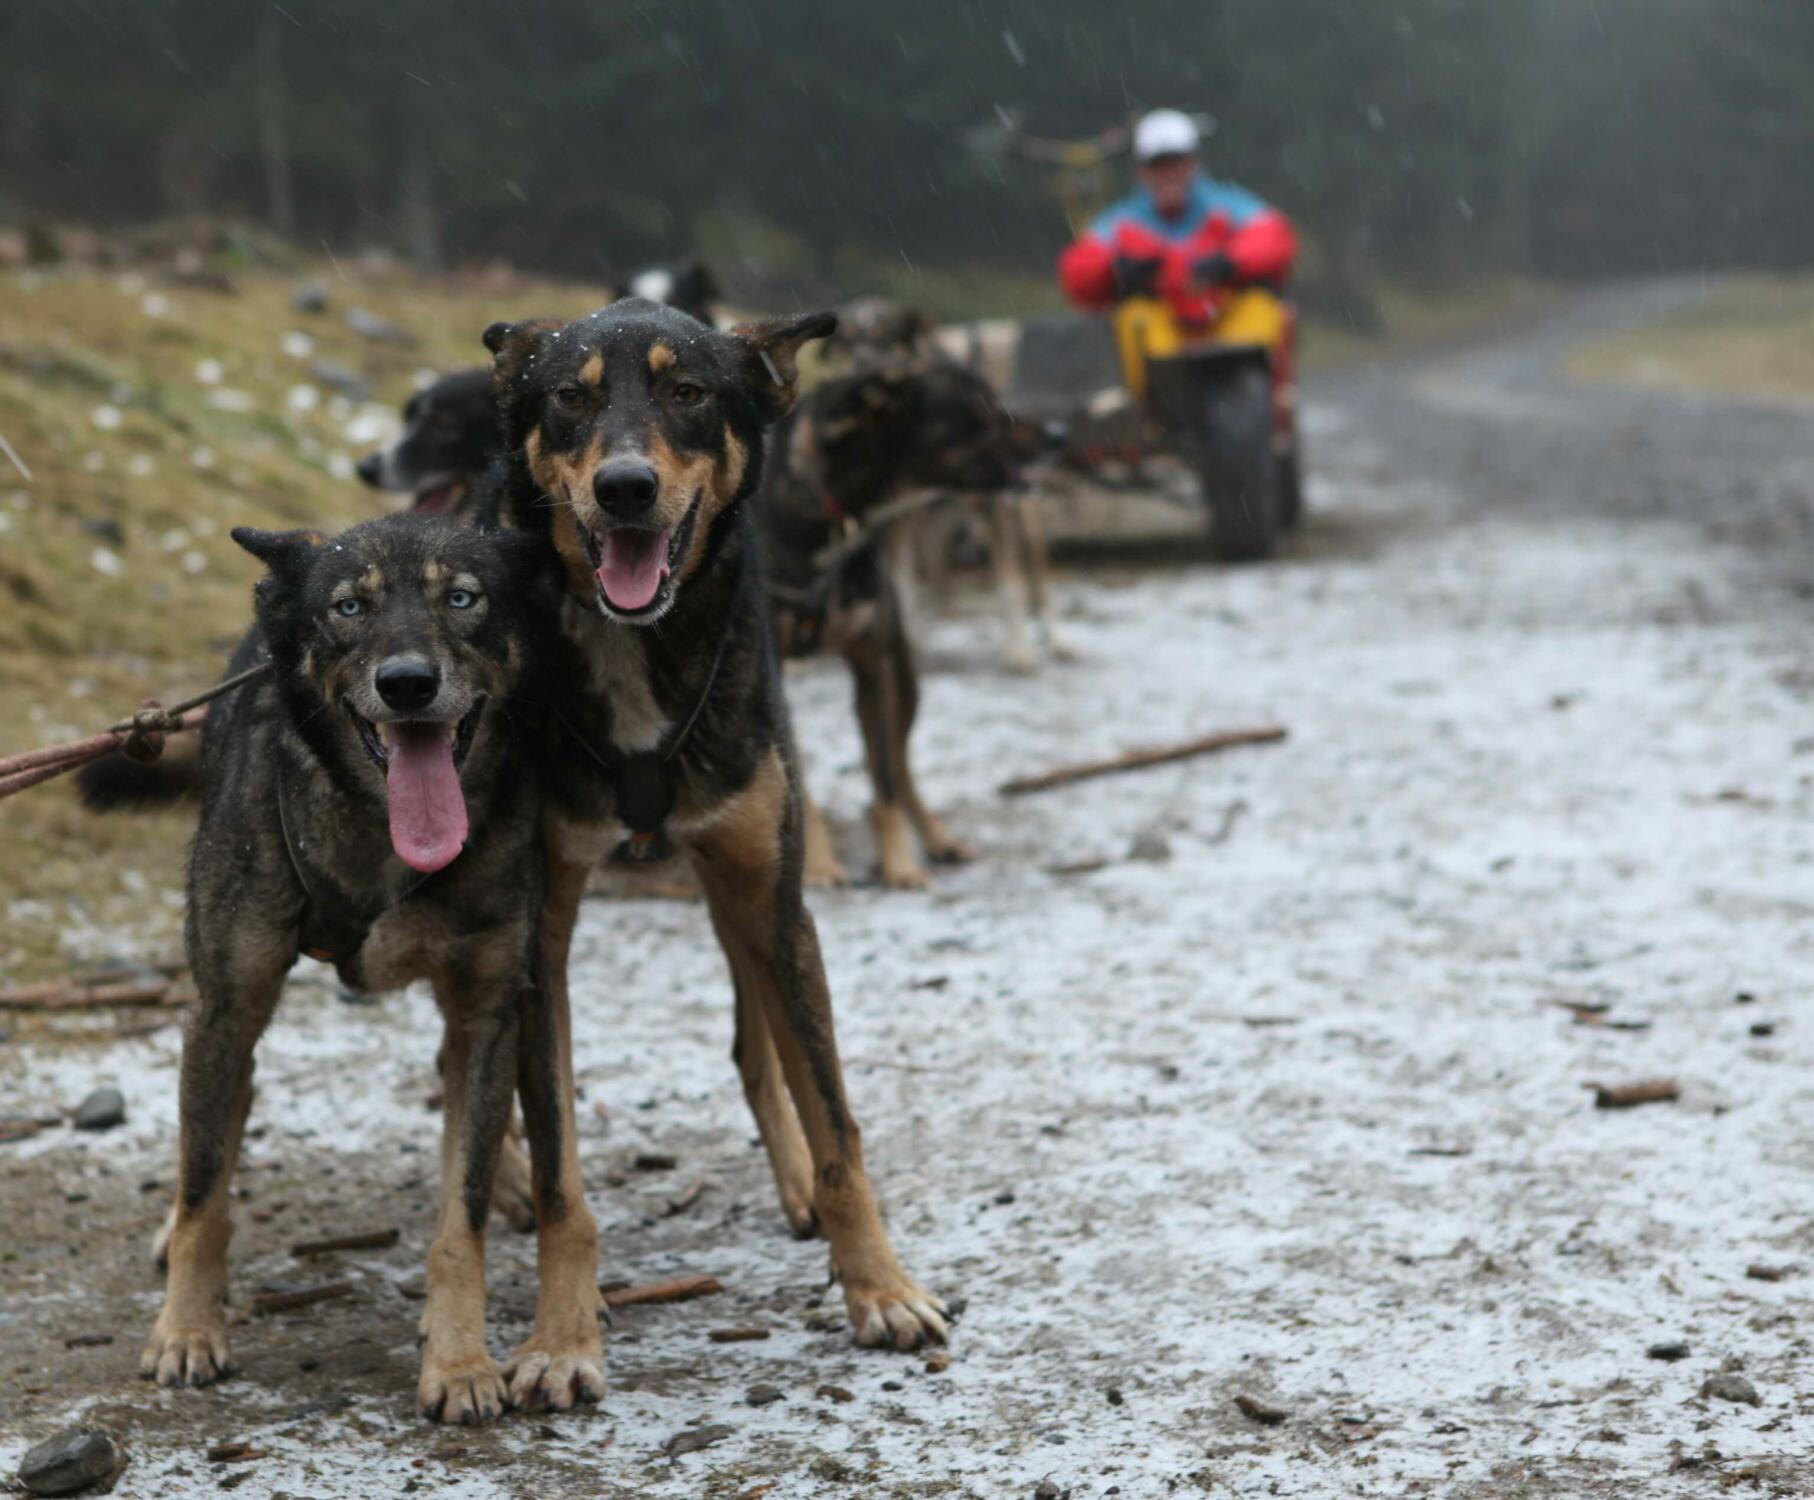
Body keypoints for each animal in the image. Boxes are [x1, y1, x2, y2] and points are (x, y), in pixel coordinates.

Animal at [86, 513, 563, 1425]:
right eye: (349, 607)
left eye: (463, 598)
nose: (407, 683)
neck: (383, 836)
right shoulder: (225, 1005)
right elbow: (204, 1187)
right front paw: (187, 1328)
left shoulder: (488, 1005)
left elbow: (462, 1211)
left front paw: (458, 1359)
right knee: (220, 1121)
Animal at [481, 297, 949, 1367]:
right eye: (569, 399)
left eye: (688, 392)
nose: (625, 488)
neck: (636, 648)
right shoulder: (537, 933)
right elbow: (562, 1158)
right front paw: (561, 1335)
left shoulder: (774, 899)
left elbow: (836, 1121)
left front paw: (881, 1285)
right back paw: (505, 1179)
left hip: (741, 895)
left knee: (756, 1043)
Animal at [758, 356, 1023, 887]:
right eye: (976, 413)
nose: (1060, 434)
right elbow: (799, 778)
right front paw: (818, 865)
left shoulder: (872, 663)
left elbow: (883, 781)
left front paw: (898, 863)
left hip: (903, 679)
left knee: (900, 768)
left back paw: (937, 838)